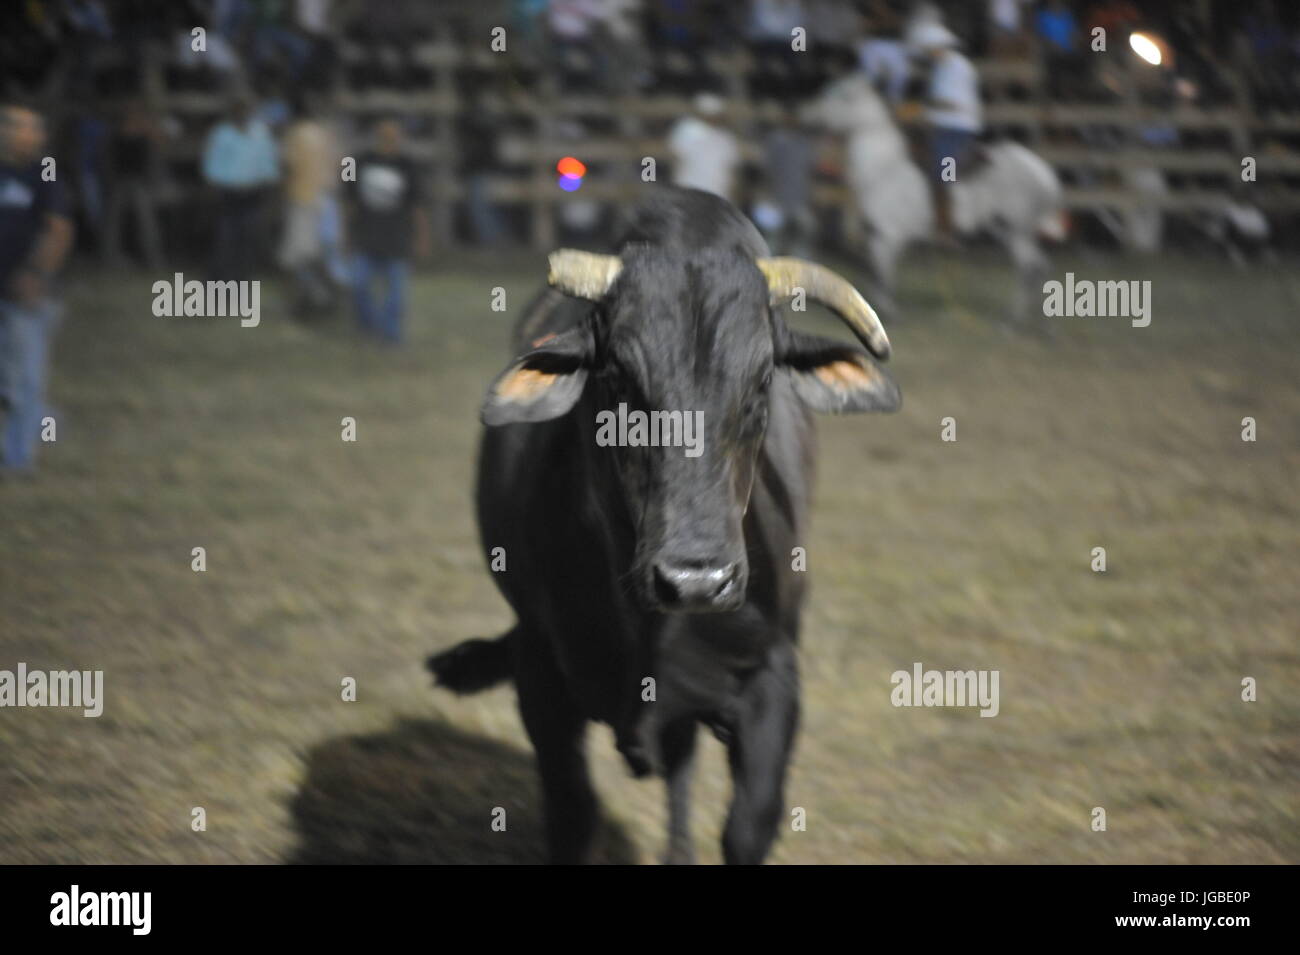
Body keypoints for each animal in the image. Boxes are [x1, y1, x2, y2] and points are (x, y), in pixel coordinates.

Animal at [431, 188, 899, 867]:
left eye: (764, 379)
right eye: (618, 378)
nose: (697, 580)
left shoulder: (773, 678)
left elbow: (747, 825)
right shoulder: (540, 674)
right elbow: (573, 815)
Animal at [800, 73, 1066, 320]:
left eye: (843, 96)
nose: (806, 112)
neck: (885, 170)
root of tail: (1046, 175)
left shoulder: (887, 237)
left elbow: (884, 273)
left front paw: (887, 310)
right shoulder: (879, 236)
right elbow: (878, 271)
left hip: (1018, 230)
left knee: (1028, 268)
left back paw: (1014, 318)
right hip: (1006, 229)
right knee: (1038, 266)